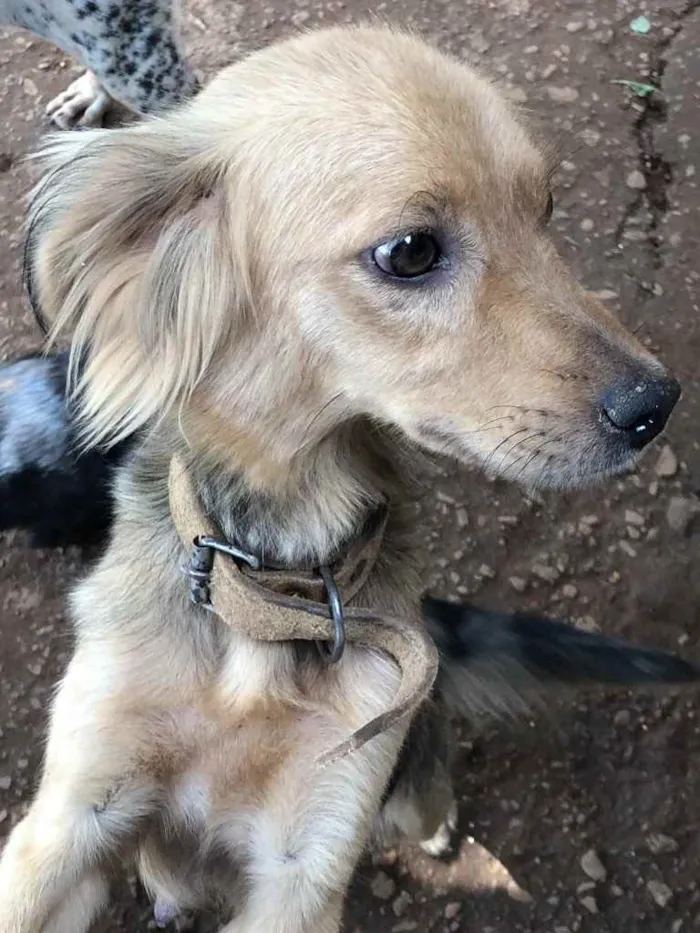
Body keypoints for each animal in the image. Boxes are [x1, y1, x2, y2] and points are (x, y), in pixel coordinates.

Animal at [0, 25, 680, 932]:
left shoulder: (309, 859)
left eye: (544, 210)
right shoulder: (71, 818)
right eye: (411, 251)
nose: (658, 404)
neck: (270, 601)